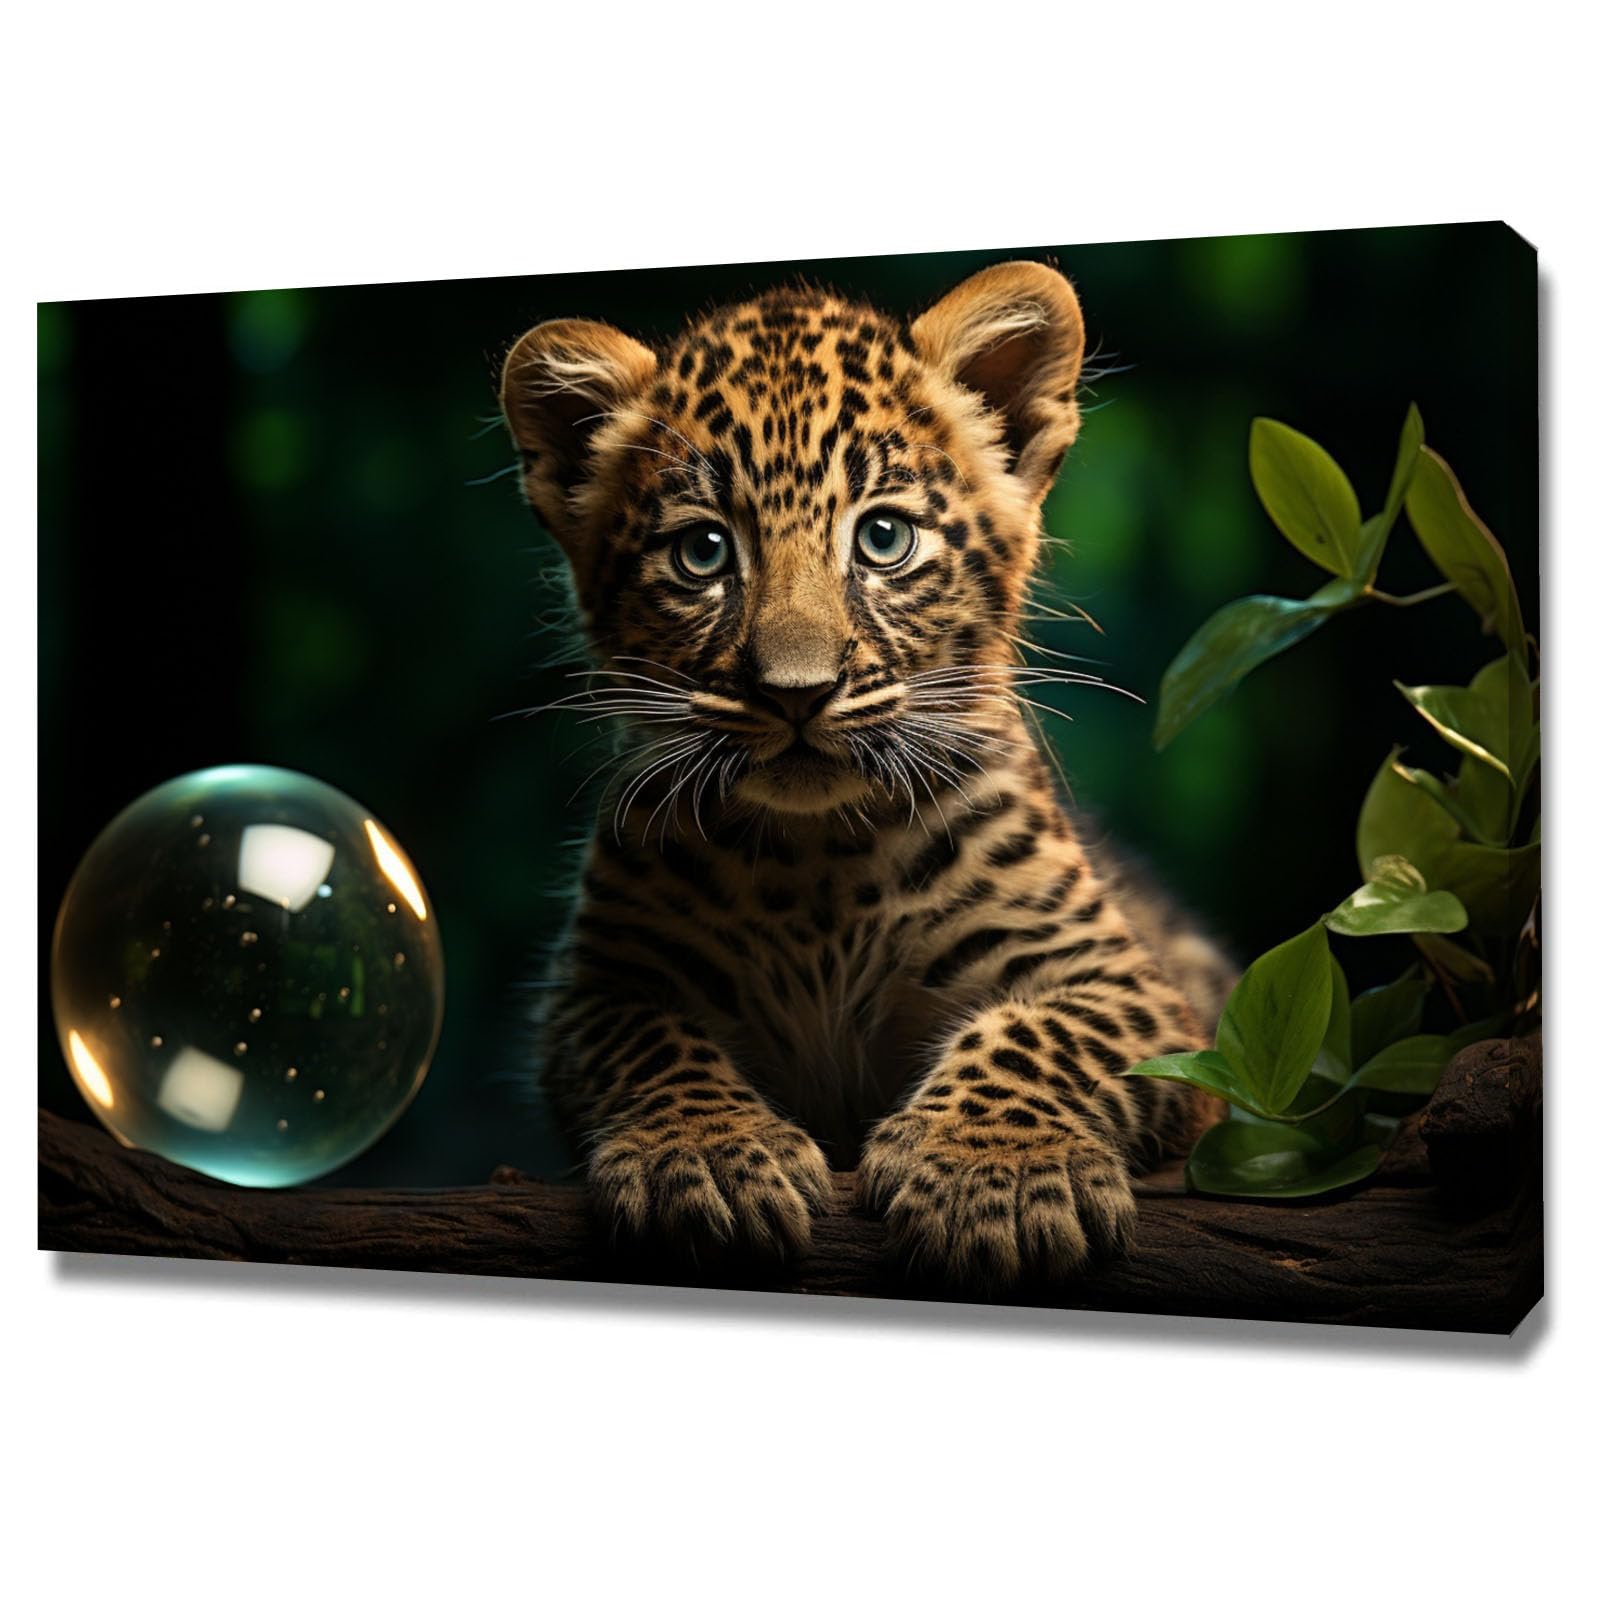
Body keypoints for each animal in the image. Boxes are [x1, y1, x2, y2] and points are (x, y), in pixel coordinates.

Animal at [497, 260, 1235, 1288]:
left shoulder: (1133, 990)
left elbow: (1039, 1033)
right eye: (703, 552)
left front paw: (992, 1177)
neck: (818, 864)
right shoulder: (595, 989)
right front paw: (708, 1159)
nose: (798, 692)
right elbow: (650, 1044)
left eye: (884, 538)